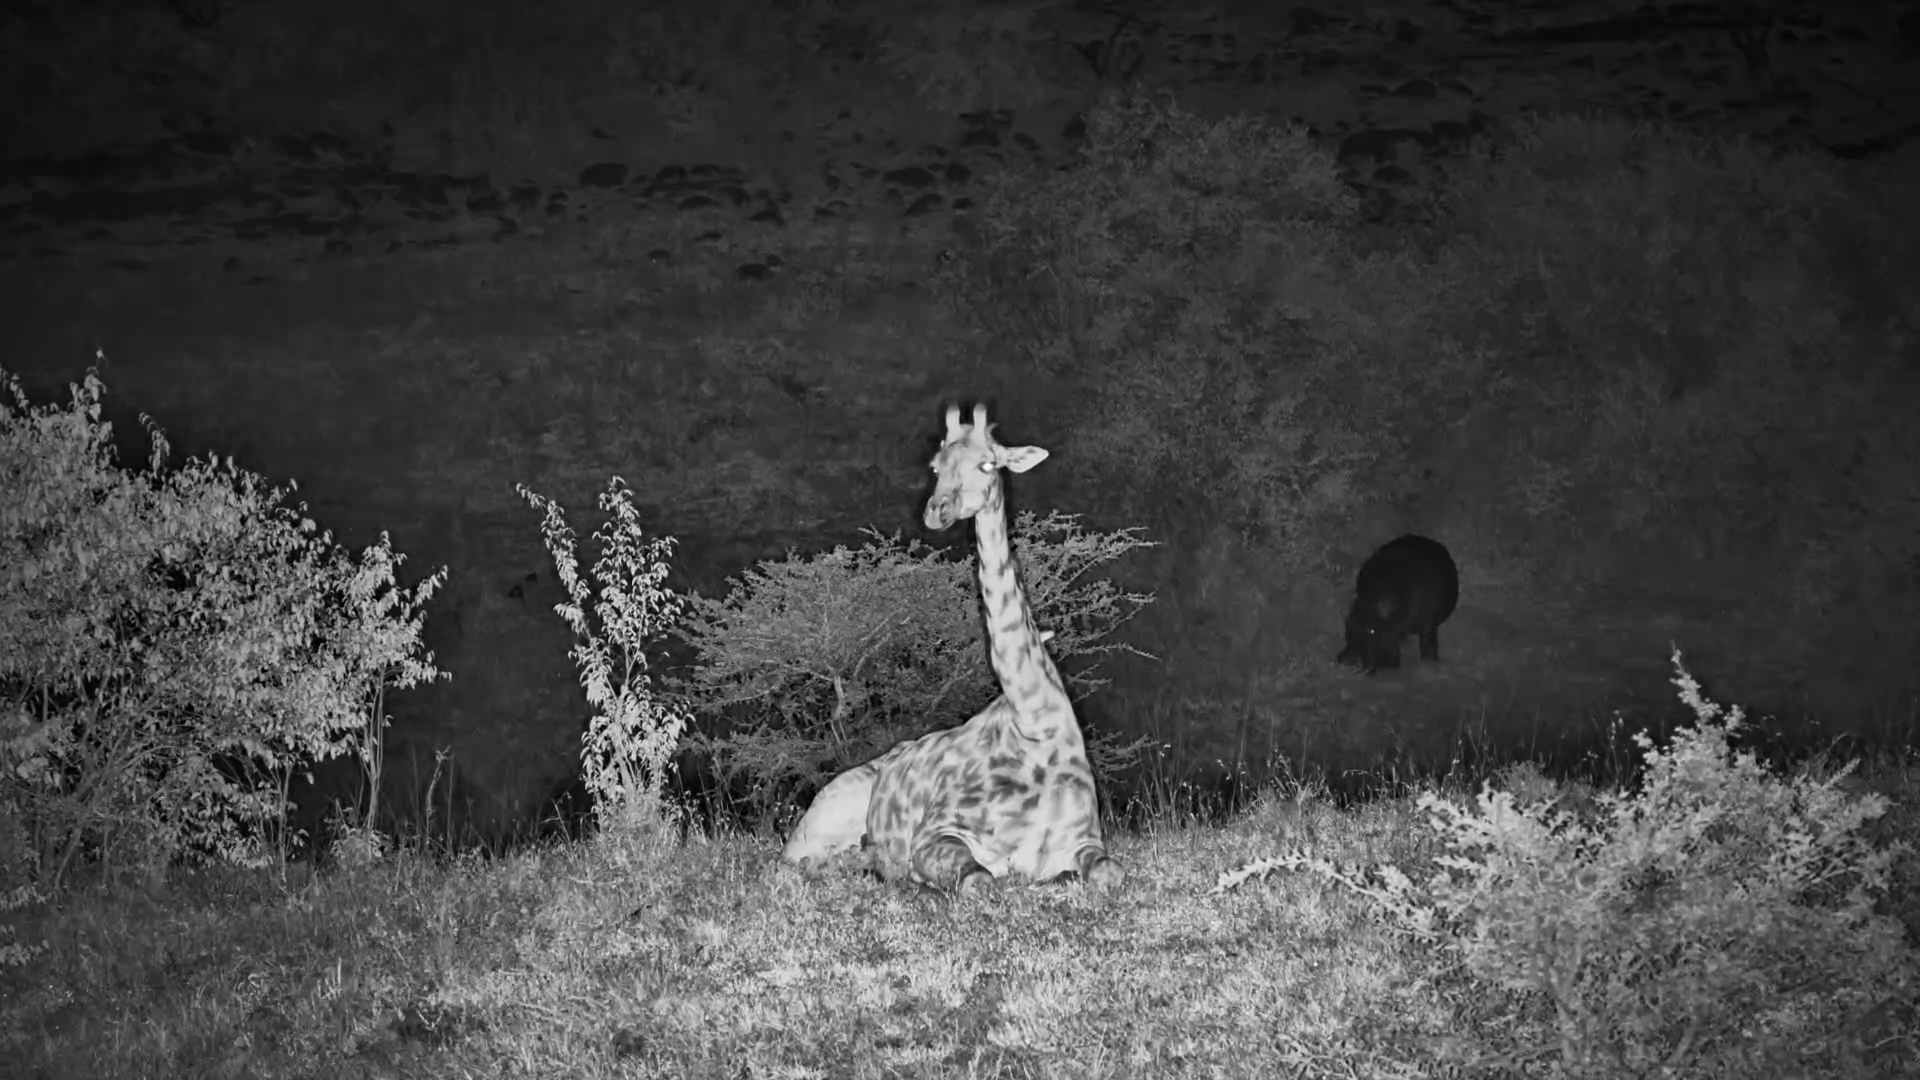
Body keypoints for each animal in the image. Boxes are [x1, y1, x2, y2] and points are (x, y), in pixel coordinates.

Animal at [782, 404, 1122, 893]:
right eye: (936, 466)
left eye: (988, 464)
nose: (936, 512)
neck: (1035, 722)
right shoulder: (937, 836)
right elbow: (978, 879)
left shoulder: (1084, 840)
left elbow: (1111, 872)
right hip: (824, 818)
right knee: (799, 863)